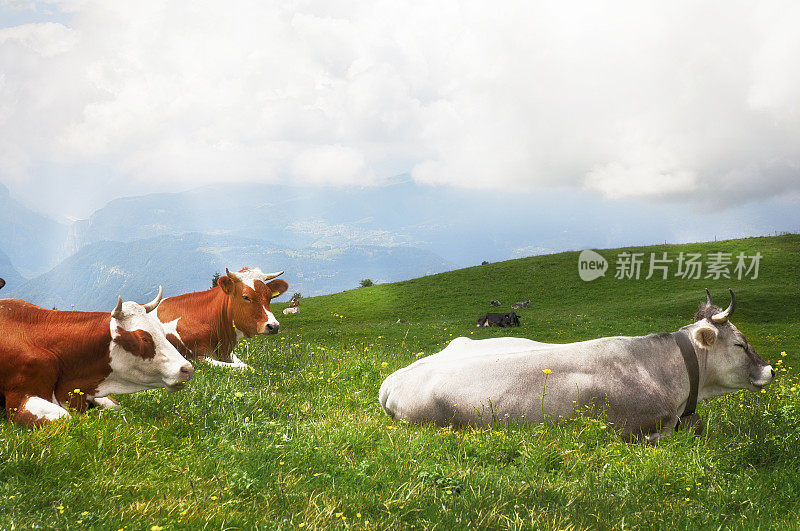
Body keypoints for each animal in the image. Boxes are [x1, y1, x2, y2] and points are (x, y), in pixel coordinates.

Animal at [0, 288, 194, 426]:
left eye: (161, 330)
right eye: (144, 338)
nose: (187, 369)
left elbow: (115, 406)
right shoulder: (17, 403)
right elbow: (64, 416)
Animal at [155, 266, 288, 370]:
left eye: (269, 297)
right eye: (246, 297)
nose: (274, 326)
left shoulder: (229, 353)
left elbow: (244, 364)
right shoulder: (195, 357)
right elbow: (244, 367)